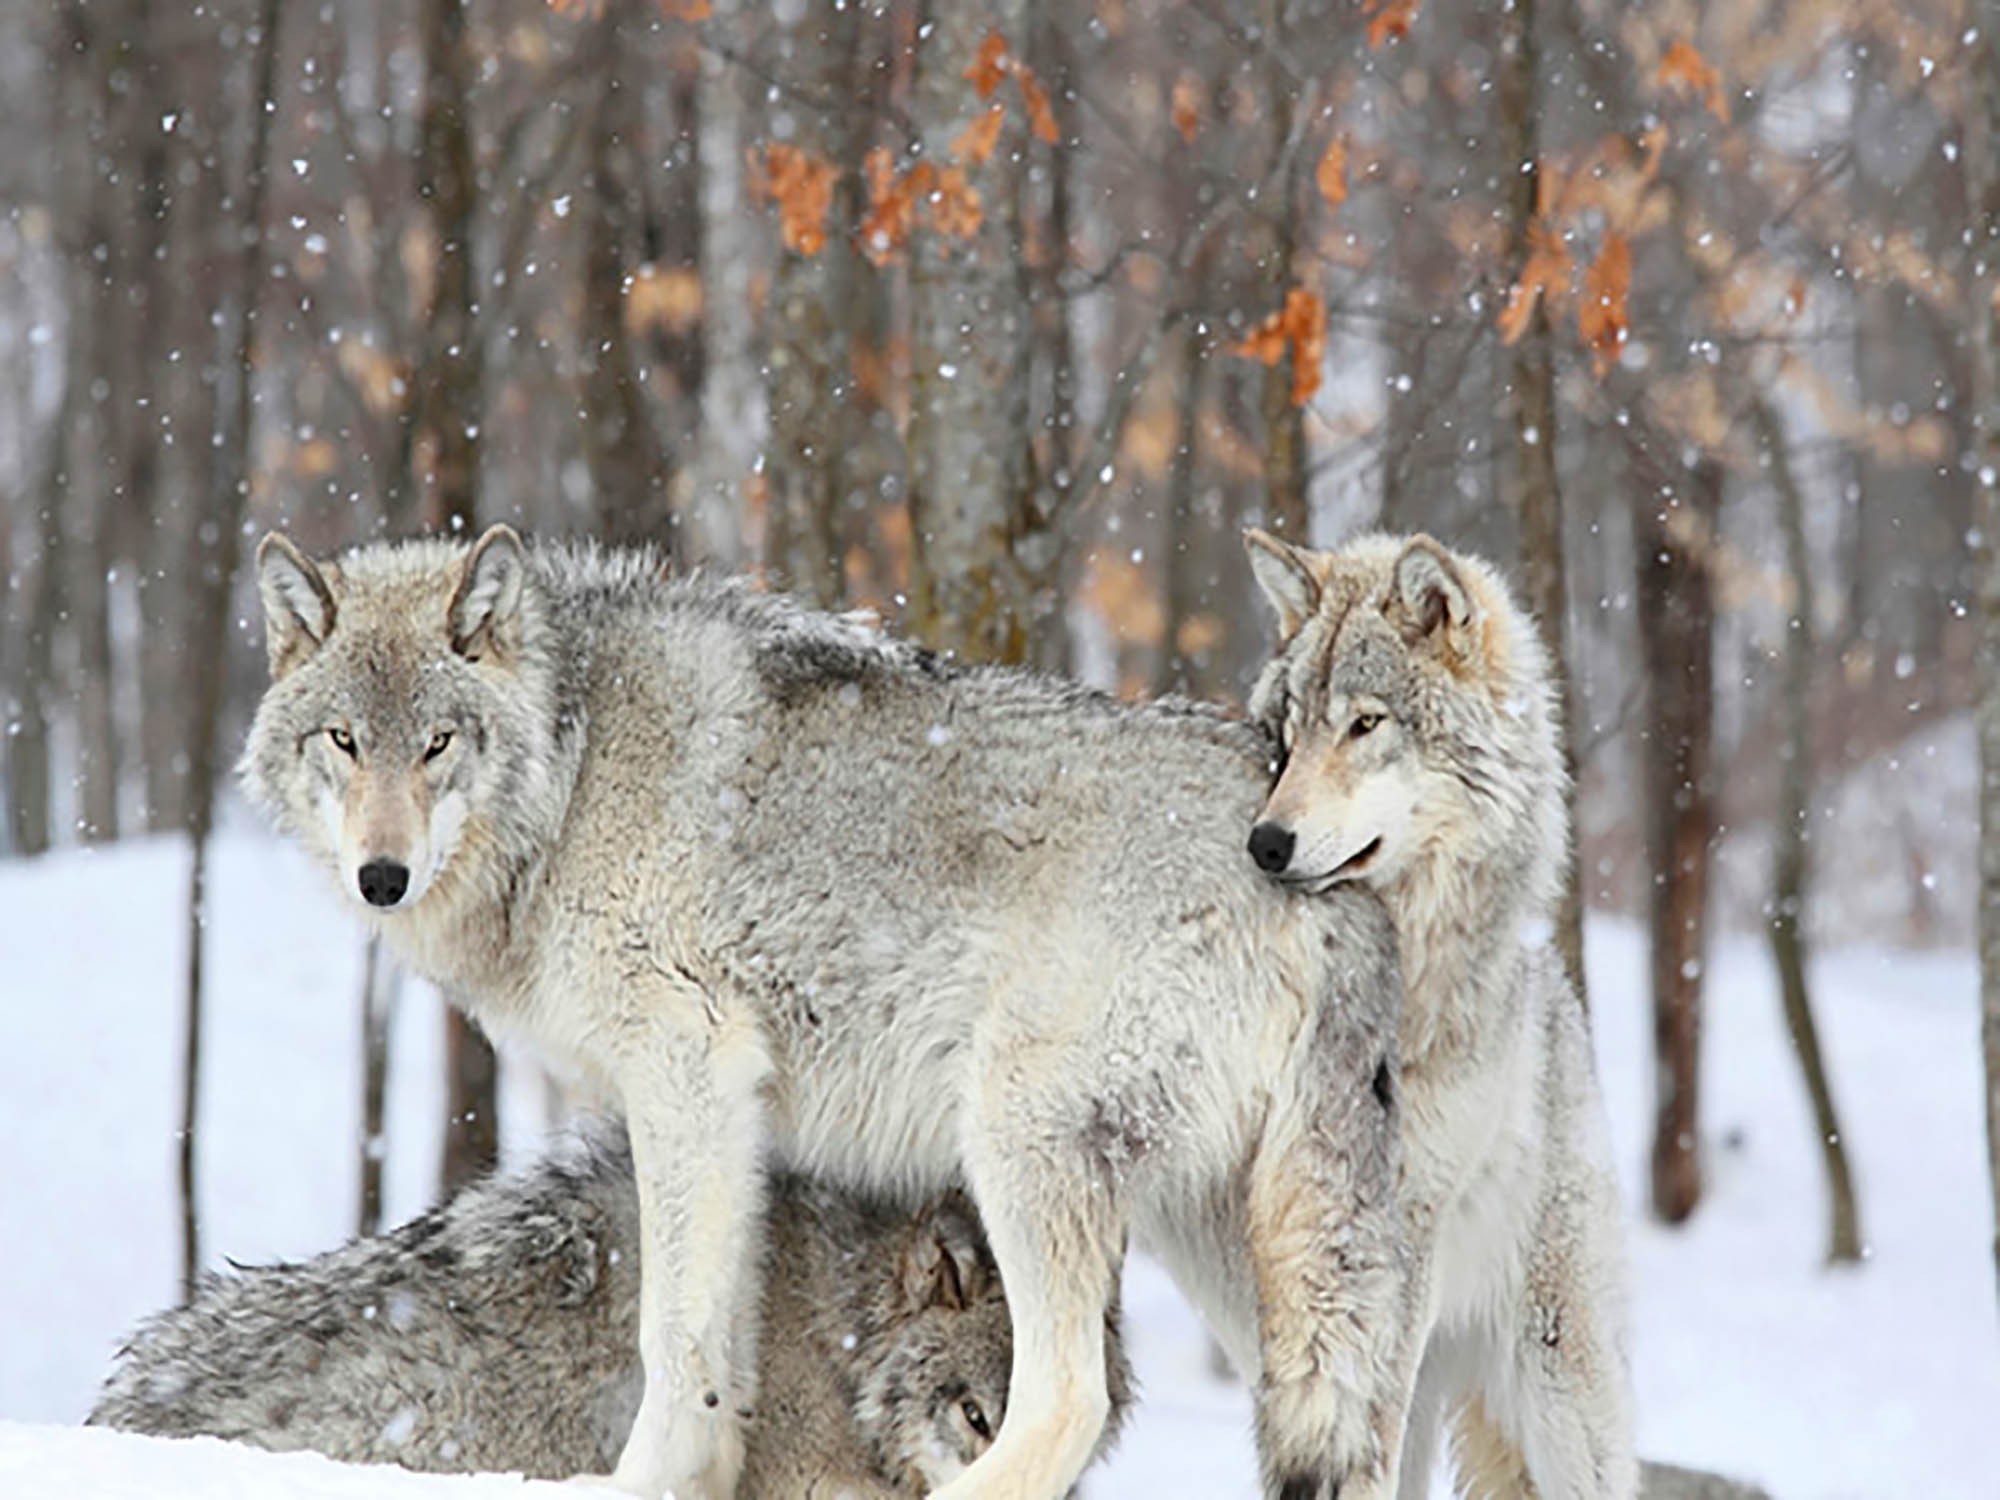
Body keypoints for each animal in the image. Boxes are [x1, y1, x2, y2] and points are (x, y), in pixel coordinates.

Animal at [240, 527, 1409, 1500]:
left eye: (439, 743)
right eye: (342, 740)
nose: (381, 877)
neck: (574, 771)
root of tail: (1314, 869)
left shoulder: (688, 1073)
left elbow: (673, 1341)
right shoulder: (729, 1123)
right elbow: (727, 1347)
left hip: (1019, 1141)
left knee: (1067, 1400)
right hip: (1236, 1241)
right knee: (1361, 1426)